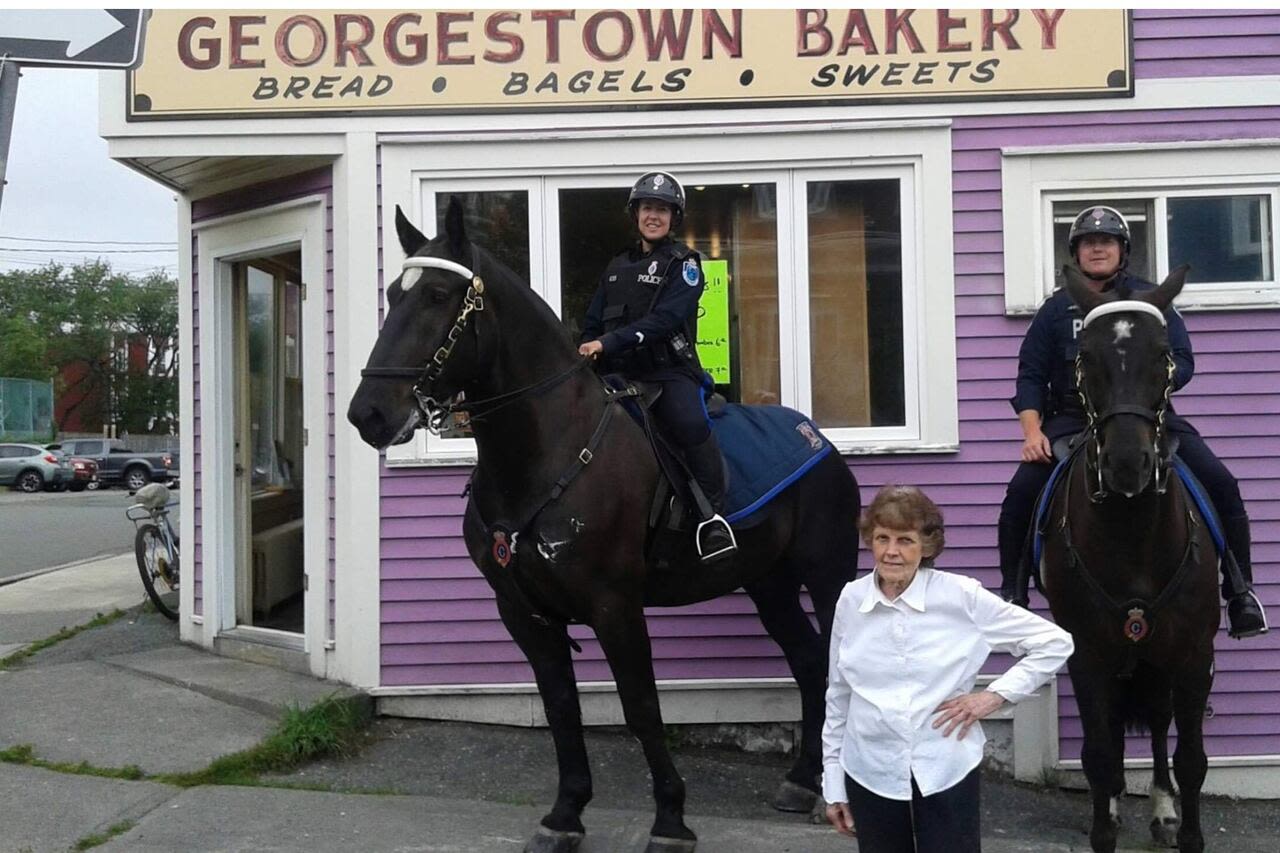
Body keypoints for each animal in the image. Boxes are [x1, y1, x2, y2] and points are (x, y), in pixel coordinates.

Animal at [348, 201, 860, 850]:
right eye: (394, 294)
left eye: (439, 295)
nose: (367, 414)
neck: (547, 451)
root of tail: (817, 439)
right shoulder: (524, 613)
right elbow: (562, 708)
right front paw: (565, 814)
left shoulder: (614, 606)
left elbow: (640, 706)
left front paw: (670, 819)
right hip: (768, 583)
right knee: (808, 662)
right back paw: (801, 781)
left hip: (827, 576)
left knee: (829, 665)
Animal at [1039, 263, 1218, 850]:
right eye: (1085, 357)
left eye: (1163, 354)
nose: (1125, 464)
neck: (1133, 533)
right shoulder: (1089, 654)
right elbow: (1098, 755)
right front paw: (1106, 822)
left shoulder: (1193, 654)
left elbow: (1191, 759)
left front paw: (1186, 830)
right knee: (1119, 728)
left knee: (1159, 721)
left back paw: (1161, 809)